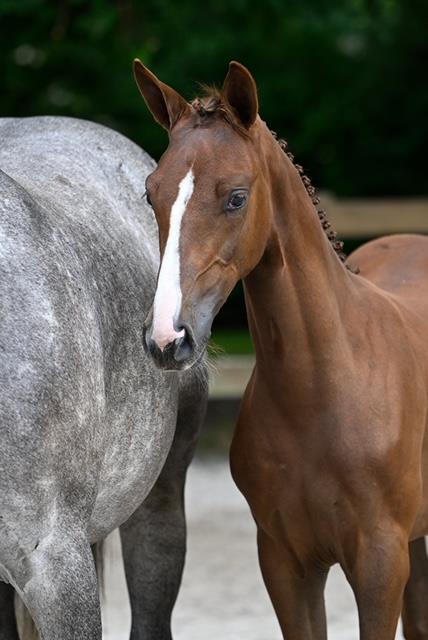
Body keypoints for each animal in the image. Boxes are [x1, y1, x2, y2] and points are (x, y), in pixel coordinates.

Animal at [135, 58, 428, 636]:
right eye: (151, 194)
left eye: (236, 197)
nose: (167, 338)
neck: (322, 393)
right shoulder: (285, 562)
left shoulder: (381, 565)